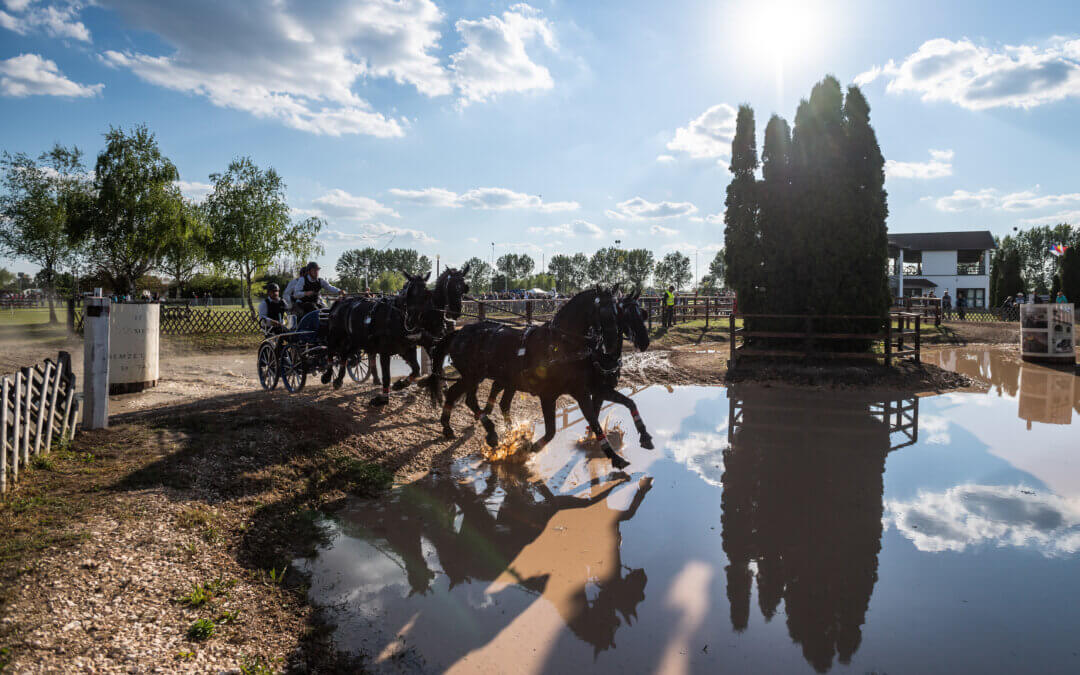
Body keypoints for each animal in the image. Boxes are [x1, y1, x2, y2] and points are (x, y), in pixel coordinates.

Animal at [425, 287, 630, 466]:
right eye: (604, 311)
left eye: (618, 311)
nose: (612, 344)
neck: (558, 343)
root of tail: (460, 332)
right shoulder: (548, 395)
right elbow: (552, 430)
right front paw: (527, 446)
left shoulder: (579, 390)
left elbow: (592, 420)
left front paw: (615, 458)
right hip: (473, 375)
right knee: (468, 399)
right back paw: (490, 433)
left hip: (475, 376)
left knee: (457, 394)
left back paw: (449, 426)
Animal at [481, 287, 656, 449]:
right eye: (625, 314)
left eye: (643, 313)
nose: (645, 342)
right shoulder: (592, 390)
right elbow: (595, 414)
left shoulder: (601, 390)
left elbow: (621, 405)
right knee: (499, 394)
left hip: (512, 382)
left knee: (503, 401)